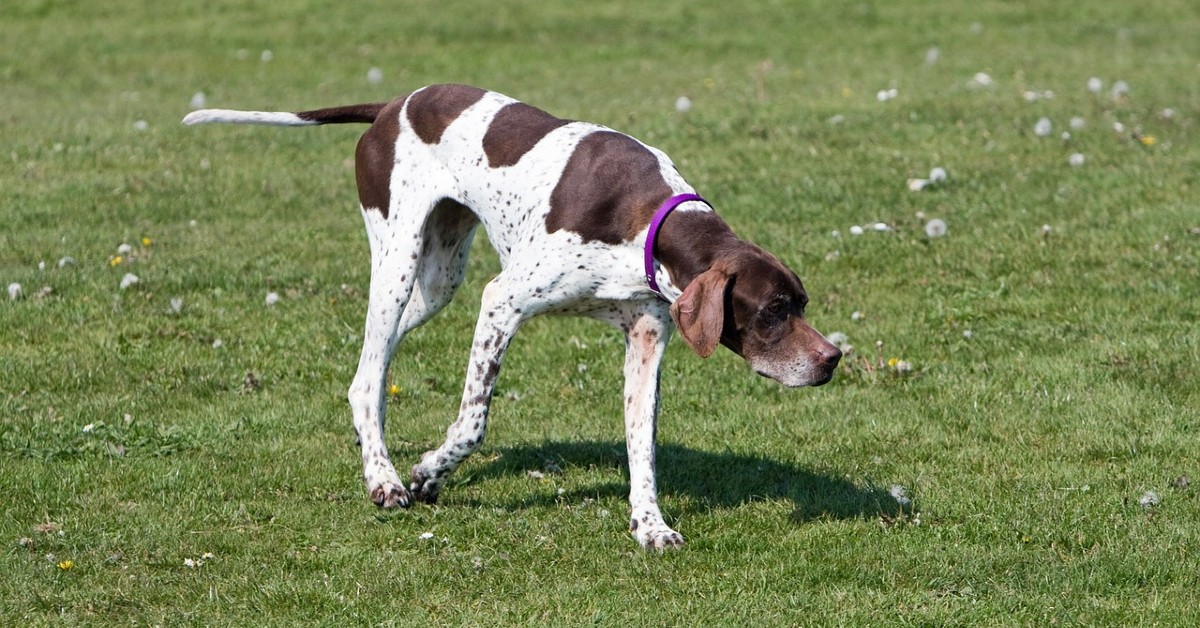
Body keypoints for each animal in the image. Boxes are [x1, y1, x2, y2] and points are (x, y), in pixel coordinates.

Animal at [187, 84, 844, 549]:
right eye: (773, 311)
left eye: (802, 304)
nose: (832, 359)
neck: (649, 221)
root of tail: (392, 105)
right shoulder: (502, 301)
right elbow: (473, 423)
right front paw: (428, 473)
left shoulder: (646, 340)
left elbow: (642, 445)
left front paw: (650, 525)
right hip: (398, 261)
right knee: (370, 373)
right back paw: (385, 478)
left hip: (438, 282)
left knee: (366, 371)